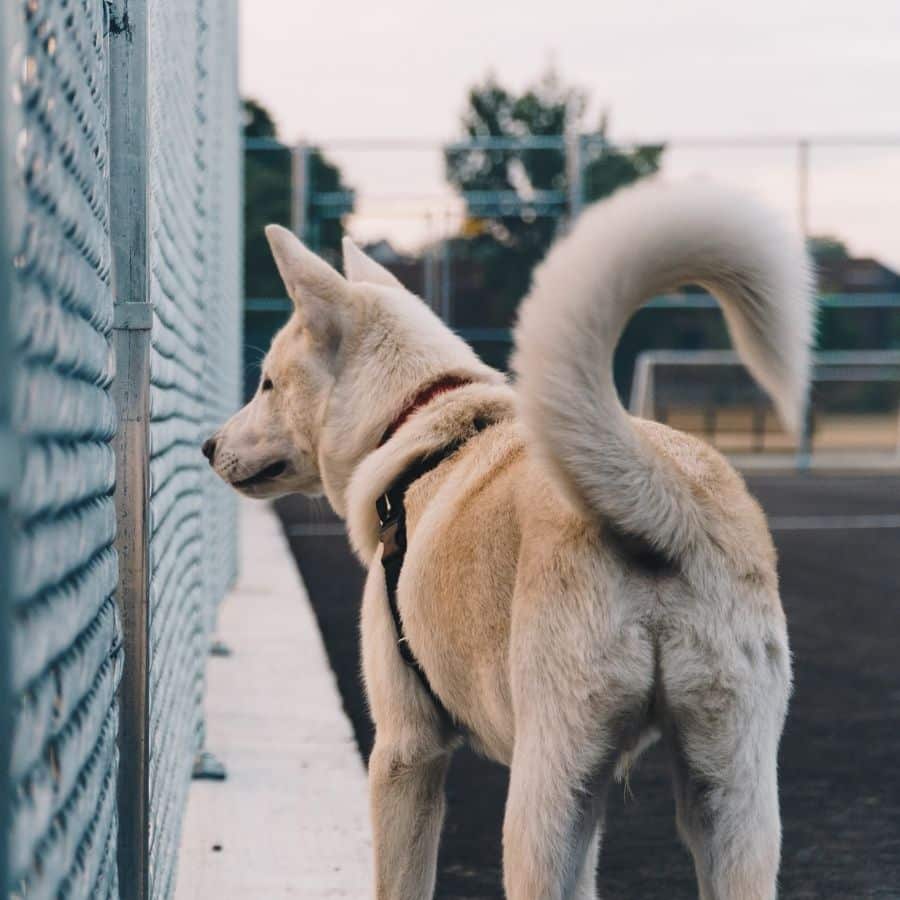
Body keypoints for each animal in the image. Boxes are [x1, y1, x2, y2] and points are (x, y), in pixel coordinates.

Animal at [207, 181, 812, 900]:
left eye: (267, 382)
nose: (207, 445)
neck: (417, 418)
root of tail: (664, 496)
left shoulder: (406, 750)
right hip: (727, 796)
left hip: (545, 794)